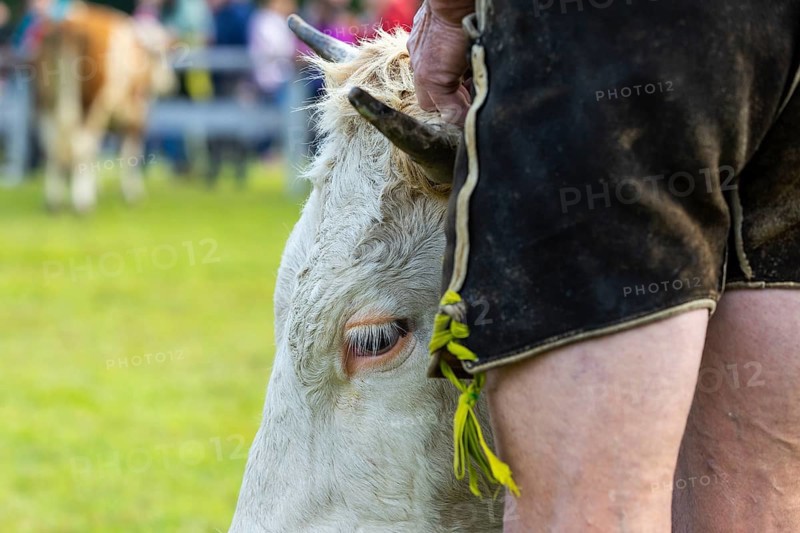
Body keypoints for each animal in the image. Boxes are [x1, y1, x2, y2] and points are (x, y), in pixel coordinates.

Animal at [34, 2, 175, 213]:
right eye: (160, 57)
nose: (170, 84)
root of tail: (70, 24)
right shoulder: (137, 117)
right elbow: (130, 153)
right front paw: (132, 194)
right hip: (92, 104)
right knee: (81, 144)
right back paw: (83, 204)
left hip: (45, 102)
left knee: (52, 145)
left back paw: (54, 202)